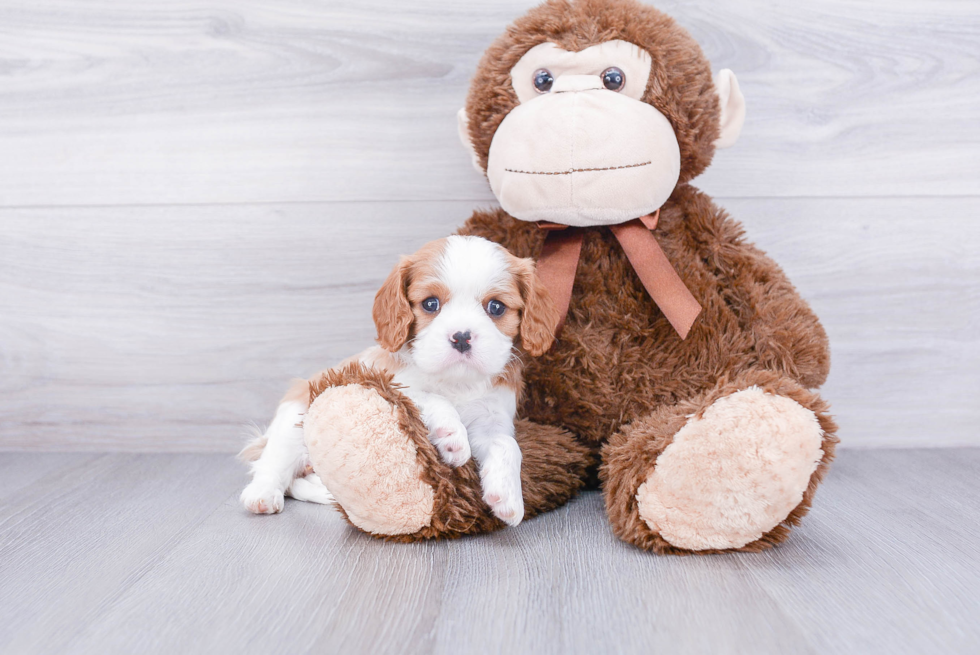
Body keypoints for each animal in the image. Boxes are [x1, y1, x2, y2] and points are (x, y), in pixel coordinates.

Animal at [239, 236, 560, 528]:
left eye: (496, 307)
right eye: (430, 304)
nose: (461, 337)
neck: (455, 381)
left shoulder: (491, 419)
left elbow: (506, 444)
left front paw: (507, 496)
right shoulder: (388, 381)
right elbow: (428, 396)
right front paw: (451, 435)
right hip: (293, 422)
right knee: (272, 464)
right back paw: (262, 495)